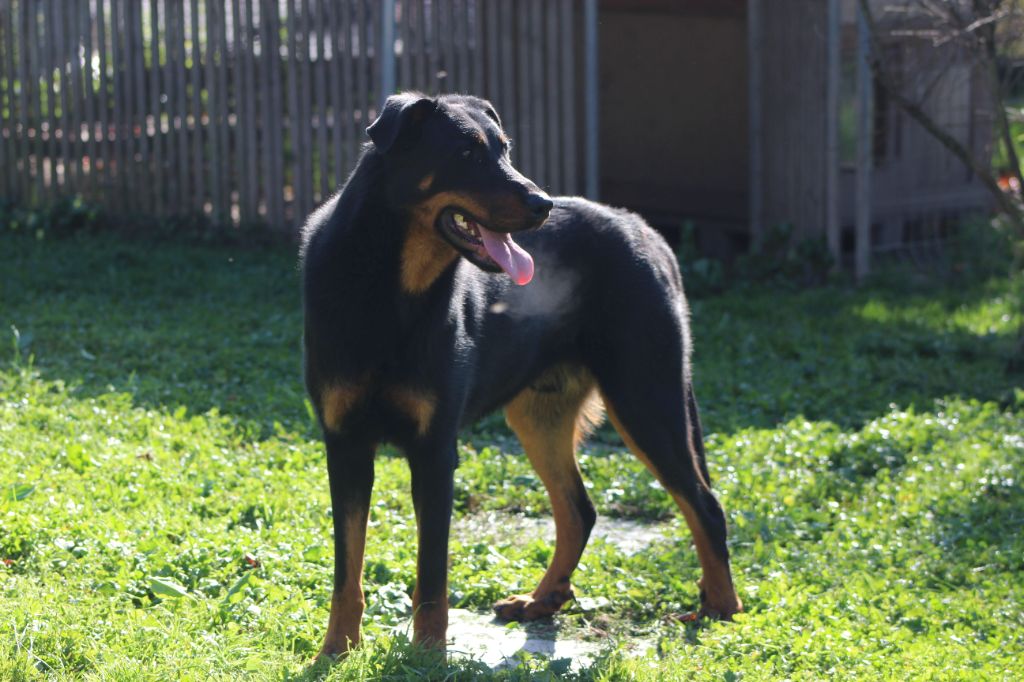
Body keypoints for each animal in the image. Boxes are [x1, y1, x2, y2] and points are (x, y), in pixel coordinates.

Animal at [299, 91, 741, 655]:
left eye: (504, 150)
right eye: (466, 153)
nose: (542, 204)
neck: (391, 289)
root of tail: (647, 232)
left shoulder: (435, 451)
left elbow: (432, 574)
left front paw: (427, 654)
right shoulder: (345, 444)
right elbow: (347, 568)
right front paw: (336, 649)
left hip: (646, 398)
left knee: (704, 504)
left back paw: (721, 608)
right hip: (543, 416)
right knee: (580, 509)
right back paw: (542, 600)